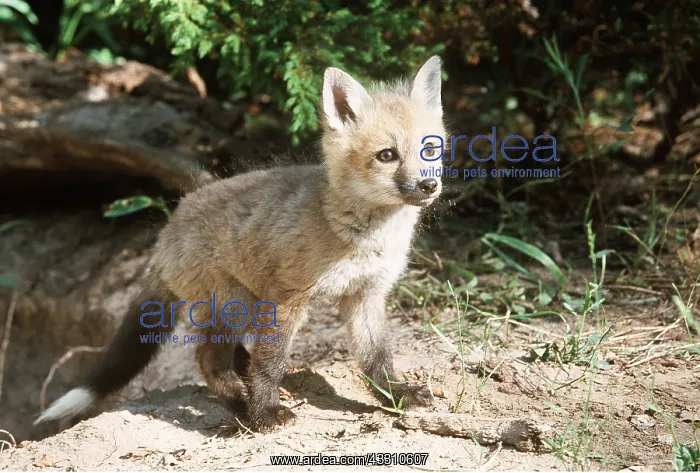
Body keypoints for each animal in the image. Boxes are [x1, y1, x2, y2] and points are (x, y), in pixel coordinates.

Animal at [34, 56, 446, 432]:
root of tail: (169, 229)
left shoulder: (366, 294)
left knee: (224, 356)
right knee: (208, 359)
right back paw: (239, 403)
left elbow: (376, 359)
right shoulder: (288, 299)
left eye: (429, 149)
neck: (359, 235)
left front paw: (396, 396)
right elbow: (270, 364)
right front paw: (265, 413)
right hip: (238, 304)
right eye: (387, 155)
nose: (429, 186)